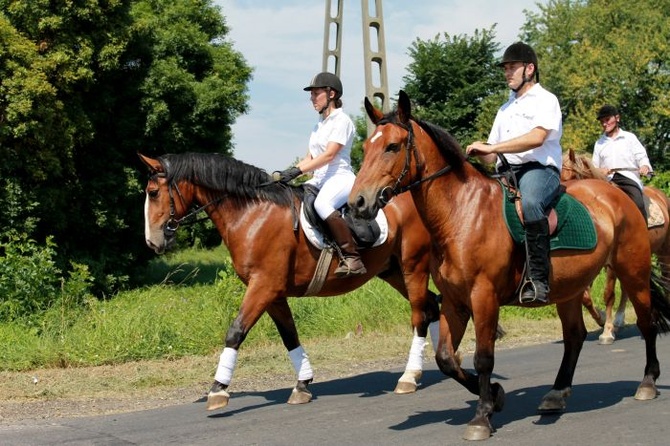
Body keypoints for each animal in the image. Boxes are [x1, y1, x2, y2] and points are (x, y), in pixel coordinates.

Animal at [140, 152, 446, 412]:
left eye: (153, 193)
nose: (152, 242)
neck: (252, 214)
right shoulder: (273, 292)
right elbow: (289, 335)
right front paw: (302, 384)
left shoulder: (263, 286)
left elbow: (236, 331)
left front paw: (218, 389)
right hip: (392, 271)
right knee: (431, 306)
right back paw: (431, 362)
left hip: (413, 266)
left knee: (420, 314)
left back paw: (409, 376)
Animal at [560, 148, 670, 344]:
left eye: (571, 176)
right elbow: (586, 297)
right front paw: (602, 319)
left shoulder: (609, 264)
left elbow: (608, 293)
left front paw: (607, 332)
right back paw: (619, 320)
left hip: (662, 251)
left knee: (666, 277)